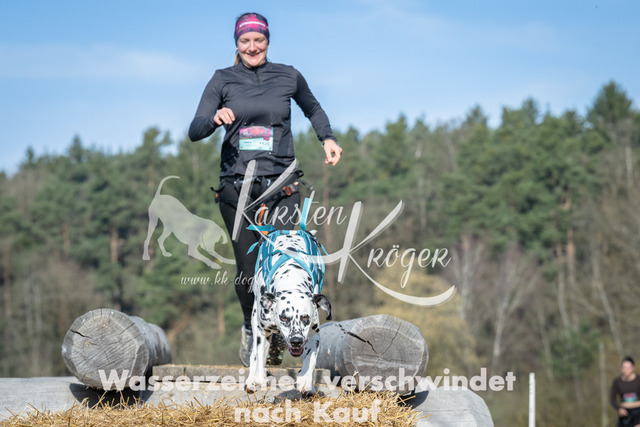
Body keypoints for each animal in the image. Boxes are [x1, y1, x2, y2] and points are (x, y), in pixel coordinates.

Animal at [245, 229, 331, 396]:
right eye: (284, 318)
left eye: (305, 318)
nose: (296, 341)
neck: (291, 278)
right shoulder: (263, 333)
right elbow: (259, 360)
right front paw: (260, 379)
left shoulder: (313, 335)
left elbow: (310, 360)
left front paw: (305, 381)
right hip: (254, 319)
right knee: (254, 356)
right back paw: (251, 380)